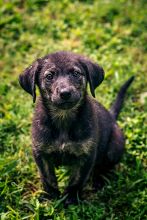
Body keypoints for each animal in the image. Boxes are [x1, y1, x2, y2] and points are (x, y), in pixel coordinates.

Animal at [19, 51, 134, 205]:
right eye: (49, 76)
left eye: (75, 73)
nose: (65, 93)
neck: (63, 118)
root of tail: (111, 116)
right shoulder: (40, 152)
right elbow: (48, 178)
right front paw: (51, 197)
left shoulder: (86, 155)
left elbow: (77, 180)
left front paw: (70, 199)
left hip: (114, 147)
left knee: (104, 167)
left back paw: (98, 181)